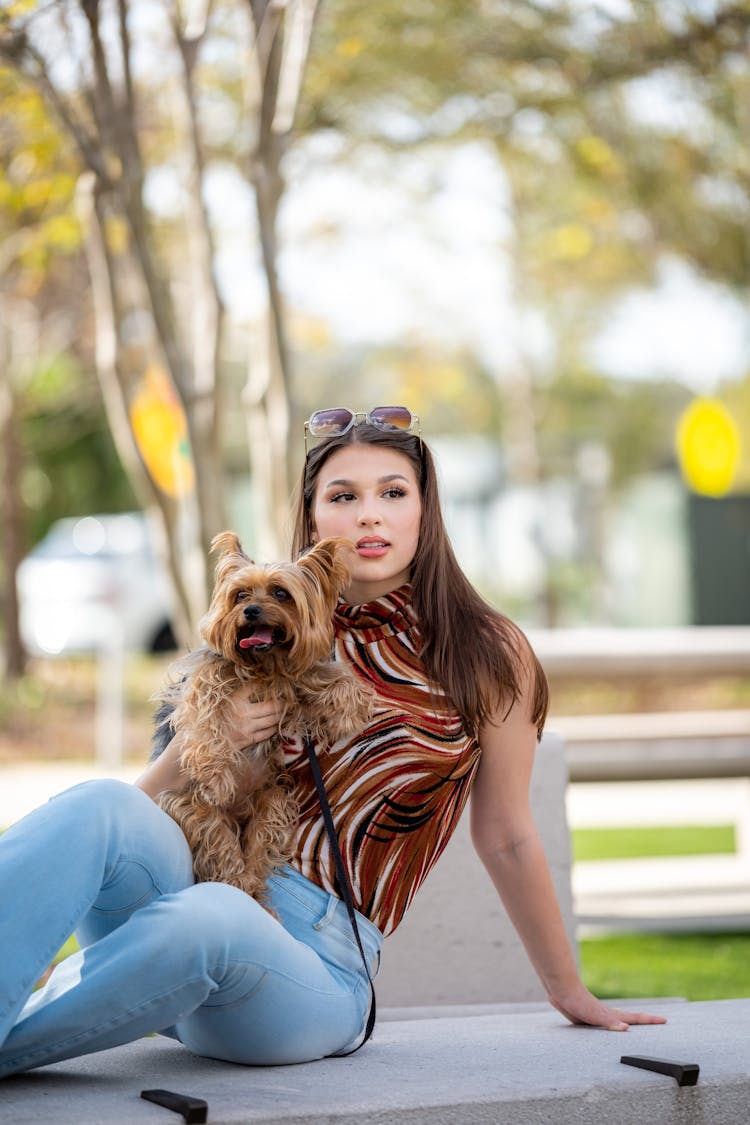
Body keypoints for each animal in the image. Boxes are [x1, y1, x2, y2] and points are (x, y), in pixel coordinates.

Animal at [154, 531, 373, 900]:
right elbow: (207, 716)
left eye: (281, 593)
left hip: (275, 800)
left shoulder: (295, 682)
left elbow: (334, 680)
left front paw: (350, 710)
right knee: (223, 853)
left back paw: (256, 890)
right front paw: (215, 775)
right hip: (190, 805)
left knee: (255, 855)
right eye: (240, 594)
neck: (264, 666)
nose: (251, 610)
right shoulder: (204, 682)